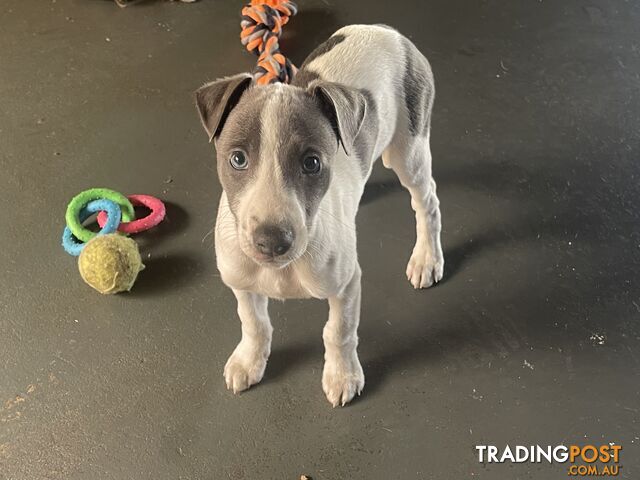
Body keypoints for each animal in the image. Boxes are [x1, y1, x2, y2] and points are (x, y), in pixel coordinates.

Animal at [196, 24, 444, 406]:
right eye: (237, 158)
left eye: (311, 163)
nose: (272, 241)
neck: (284, 269)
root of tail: (387, 30)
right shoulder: (241, 281)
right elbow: (253, 322)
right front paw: (250, 360)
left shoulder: (347, 284)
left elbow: (338, 331)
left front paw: (342, 375)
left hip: (409, 151)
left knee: (427, 202)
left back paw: (427, 257)